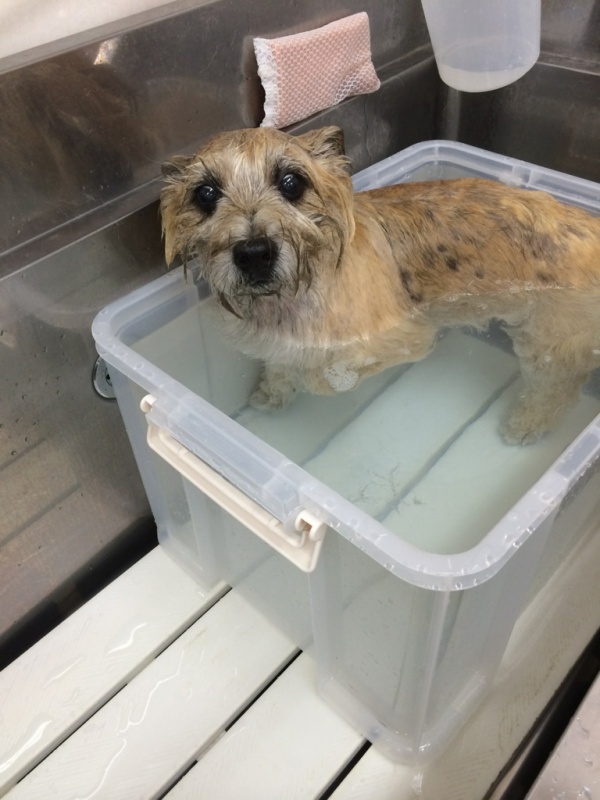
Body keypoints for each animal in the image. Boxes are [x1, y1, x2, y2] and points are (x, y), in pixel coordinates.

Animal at [160, 126, 600, 444]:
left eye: (291, 182)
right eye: (205, 193)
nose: (254, 252)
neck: (292, 299)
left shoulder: (403, 339)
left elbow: (323, 376)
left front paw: (308, 380)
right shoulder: (278, 343)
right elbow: (280, 364)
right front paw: (272, 392)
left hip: (547, 342)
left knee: (559, 385)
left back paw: (527, 423)